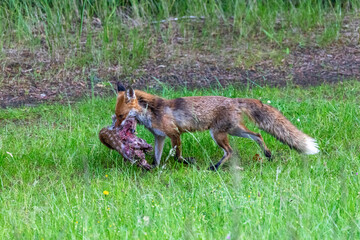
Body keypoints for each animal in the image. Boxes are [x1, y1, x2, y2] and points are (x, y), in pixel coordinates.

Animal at [114, 83, 320, 170]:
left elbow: (177, 155)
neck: (152, 112)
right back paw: (267, 154)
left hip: (218, 134)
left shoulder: (174, 134)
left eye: (121, 116)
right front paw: (153, 169)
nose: (114, 129)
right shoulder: (160, 137)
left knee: (230, 151)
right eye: (114, 116)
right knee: (258, 135)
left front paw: (187, 162)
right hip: (234, 131)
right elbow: (157, 157)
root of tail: (234, 100)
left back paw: (215, 167)